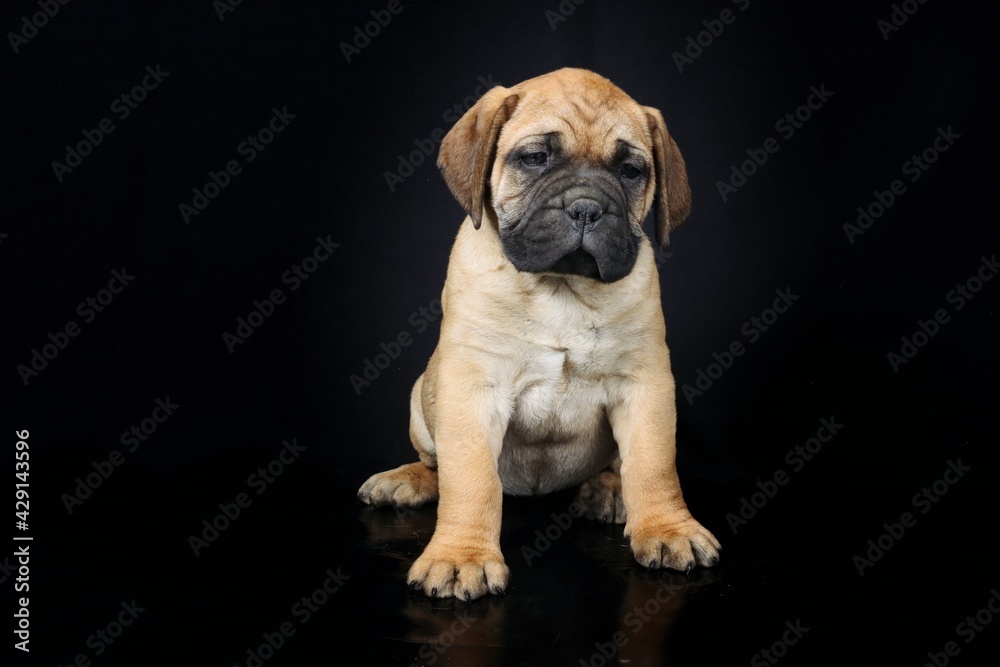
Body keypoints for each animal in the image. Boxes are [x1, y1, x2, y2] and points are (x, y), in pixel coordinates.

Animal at [360, 68, 720, 600]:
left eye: (631, 171)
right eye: (535, 159)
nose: (587, 208)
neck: (560, 288)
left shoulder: (646, 384)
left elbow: (654, 463)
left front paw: (668, 528)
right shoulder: (472, 388)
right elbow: (470, 479)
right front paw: (461, 556)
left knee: (618, 465)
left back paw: (607, 490)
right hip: (422, 397)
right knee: (437, 465)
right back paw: (408, 480)